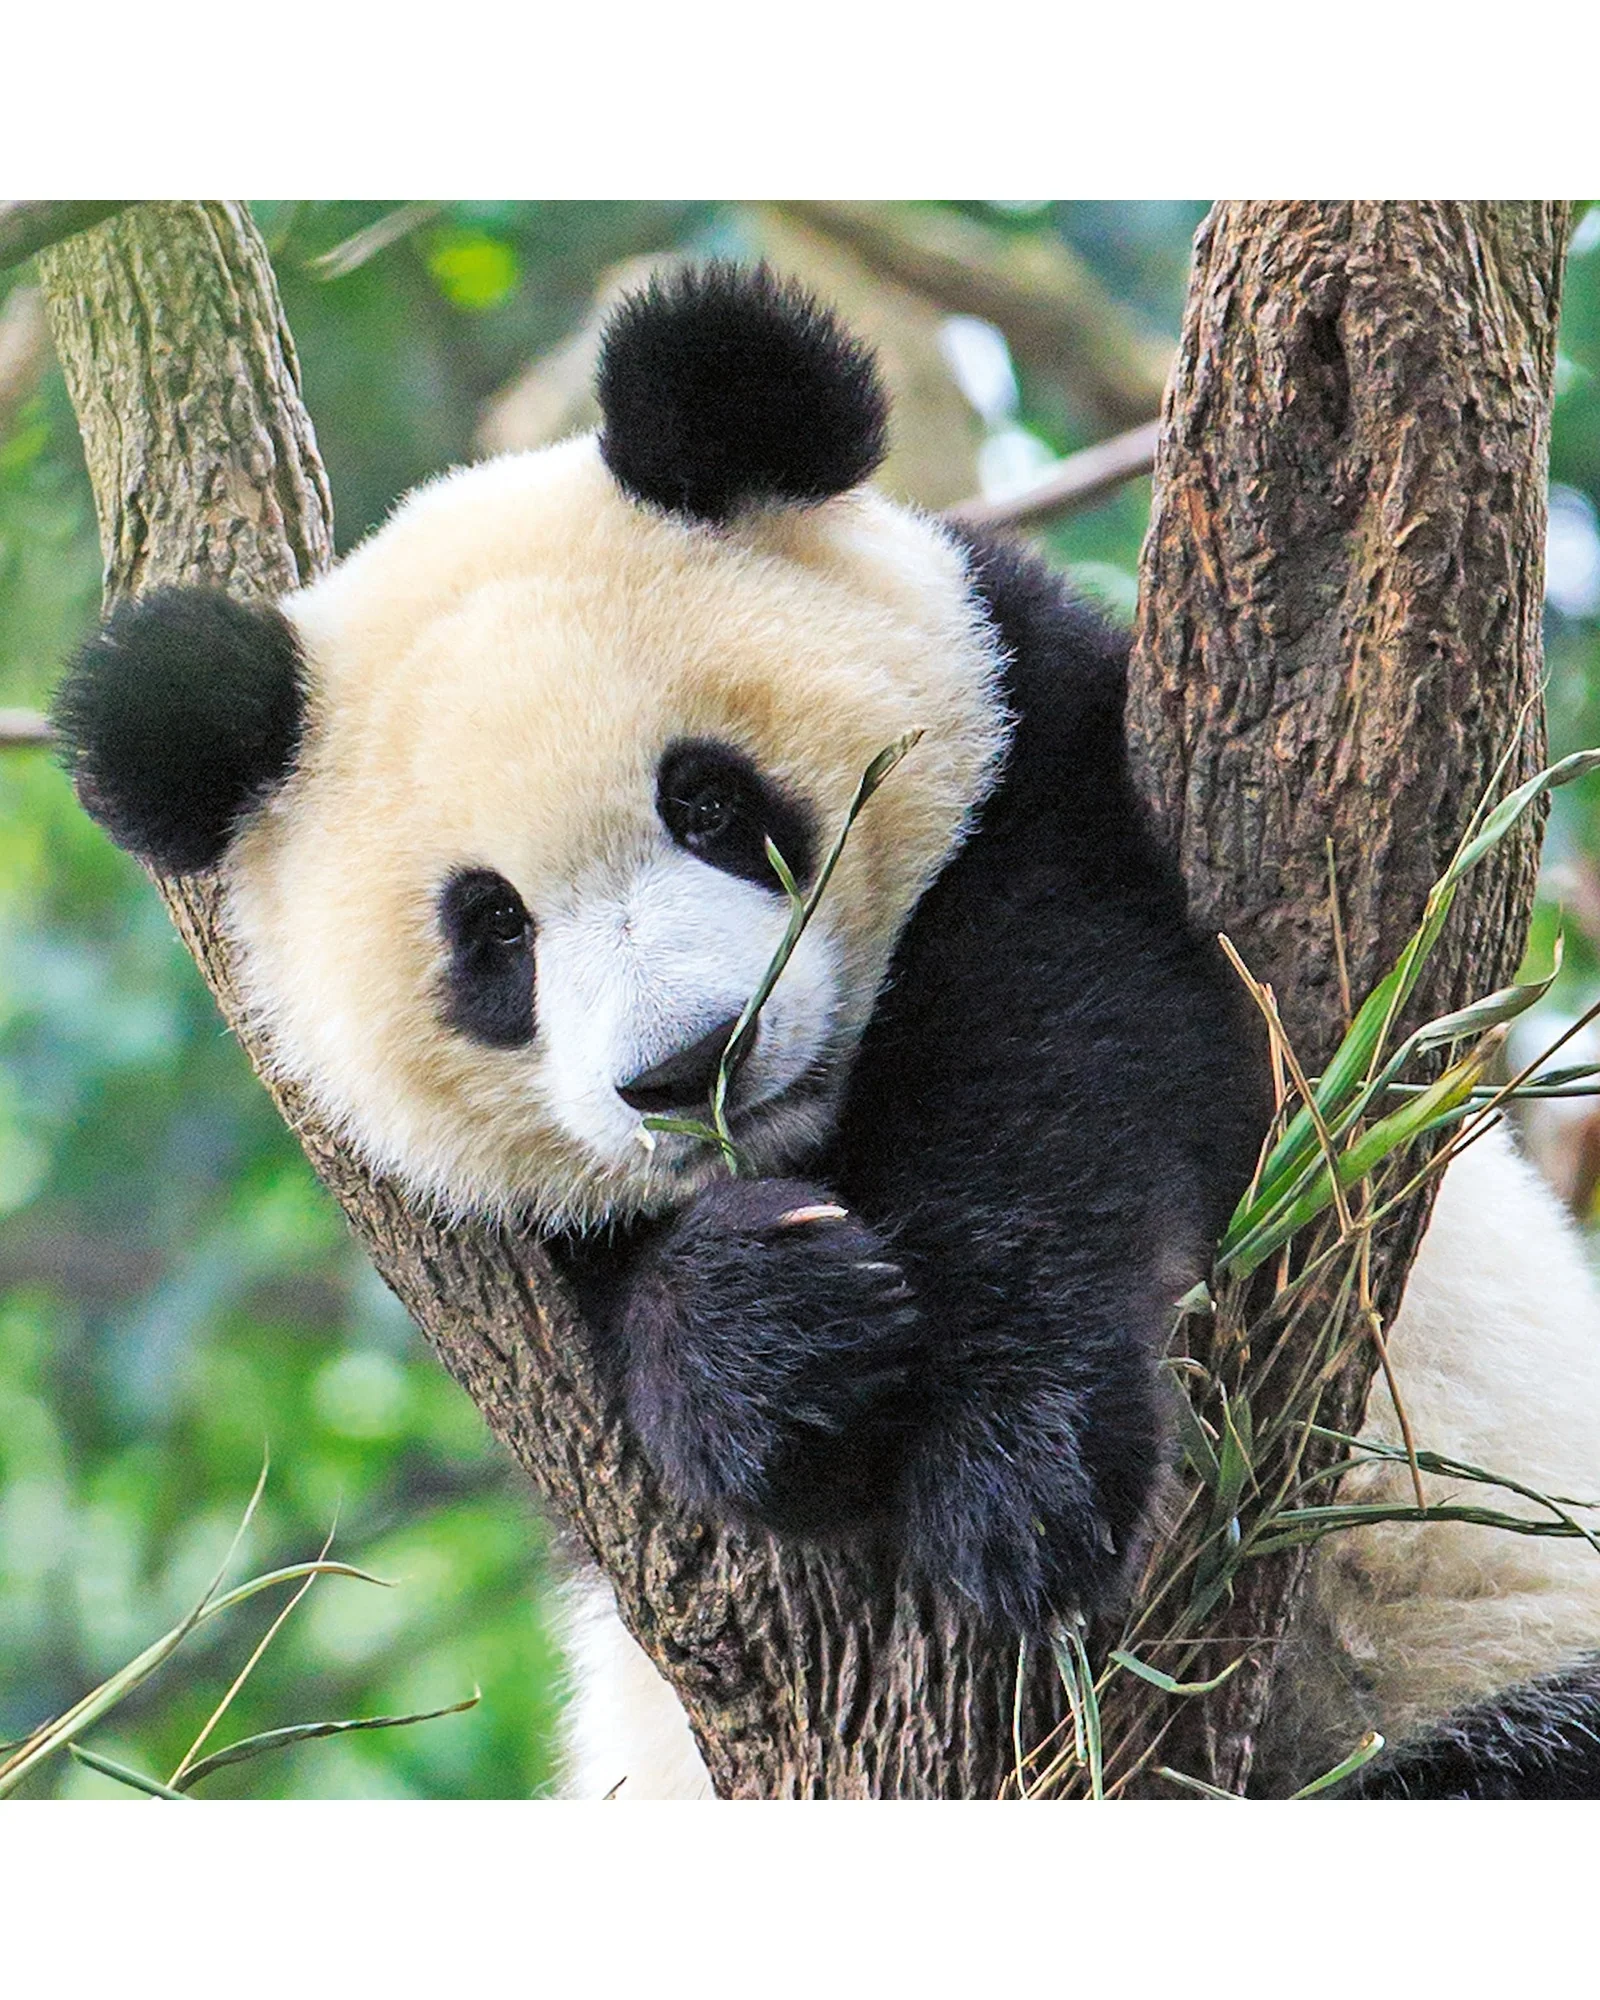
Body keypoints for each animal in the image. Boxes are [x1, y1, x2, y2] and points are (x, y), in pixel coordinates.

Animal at [51, 262, 1600, 1800]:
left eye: (709, 801)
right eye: (493, 932)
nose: (692, 1066)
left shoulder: (1049, 761)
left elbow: (1075, 1061)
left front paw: (1019, 1478)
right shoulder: (500, 1270)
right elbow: (620, 1358)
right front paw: (769, 1333)